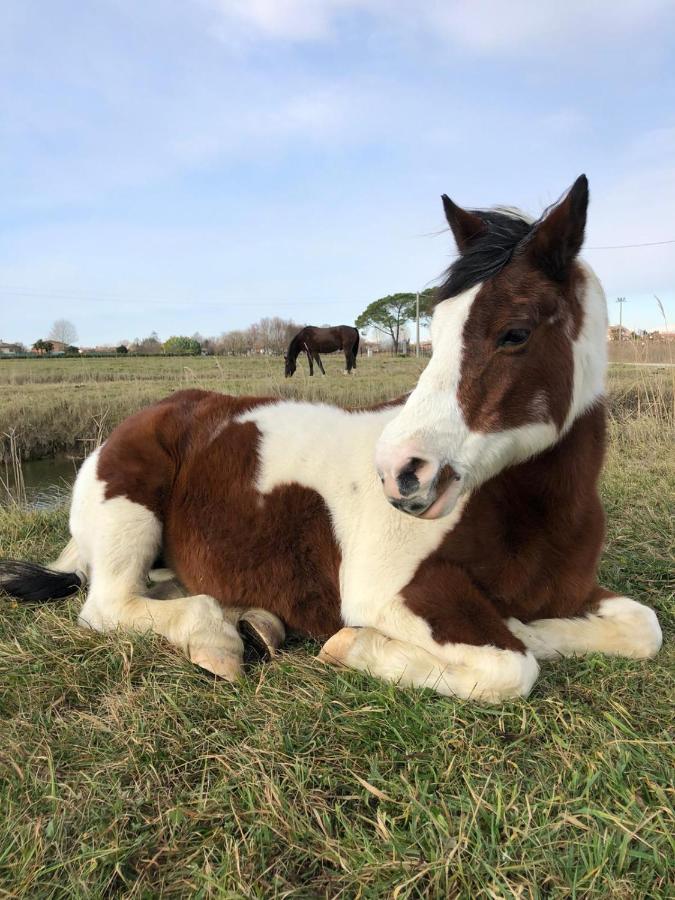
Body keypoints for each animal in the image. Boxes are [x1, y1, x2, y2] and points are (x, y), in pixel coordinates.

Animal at [0, 176, 664, 704]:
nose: (402, 473)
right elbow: (509, 667)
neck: (525, 509)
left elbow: (643, 626)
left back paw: (252, 621)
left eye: (516, 332)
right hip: (129, 512)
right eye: (438, 325)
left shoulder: (573, 592)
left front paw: (537, 631)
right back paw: (215, 636)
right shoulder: (391, 593)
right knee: (109, 604)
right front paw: (357, 647)